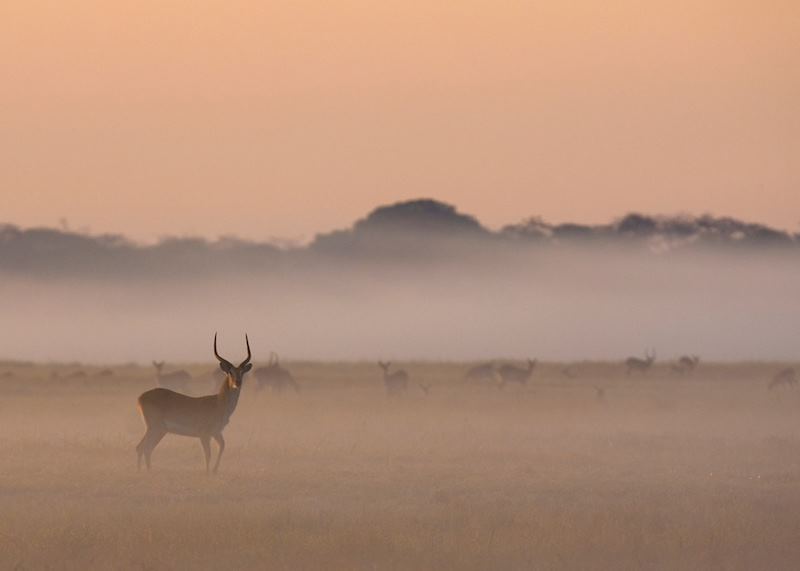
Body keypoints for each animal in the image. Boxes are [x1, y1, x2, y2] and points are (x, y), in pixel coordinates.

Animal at [136, 334, 252, 473]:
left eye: (242, 372)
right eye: (230, 372)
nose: (237, 383)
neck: (218, 403)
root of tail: (140, 397)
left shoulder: (216, 432)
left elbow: (222, 446)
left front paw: (214, 471)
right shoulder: (204, 434)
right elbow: (208, 454)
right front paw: (207, 473)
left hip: (159, 430)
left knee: (144, 448)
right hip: (155, 428)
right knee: (142, 447)